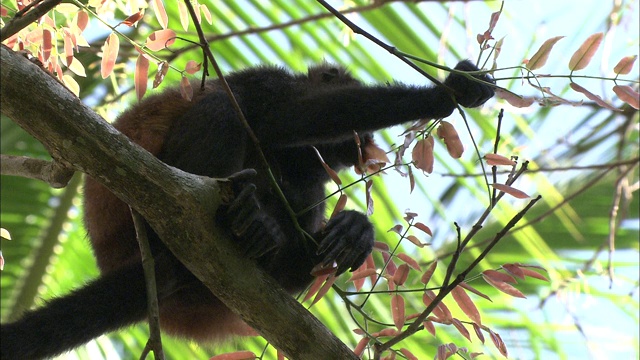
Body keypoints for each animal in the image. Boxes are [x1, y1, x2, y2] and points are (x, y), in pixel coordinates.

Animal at [0, 60, 496, 358]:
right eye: (358, 137)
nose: (364, 149)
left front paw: (353, 230)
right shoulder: (270, 82)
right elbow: (287, 119)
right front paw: (446, 93)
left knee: (305, 187)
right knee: (224, 108)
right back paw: (238, 218)